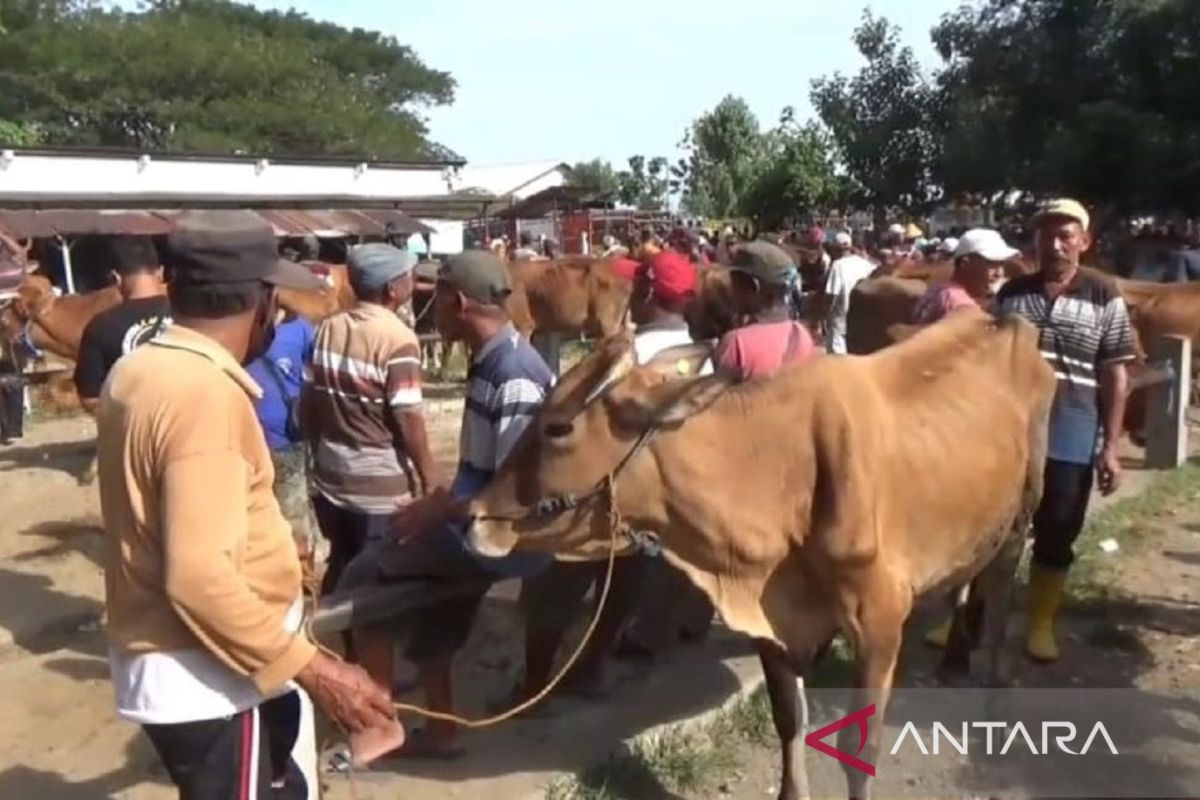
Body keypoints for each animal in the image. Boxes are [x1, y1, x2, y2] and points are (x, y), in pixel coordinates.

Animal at [463, 311, 1056, 800]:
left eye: (558, 427)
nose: (474, 517)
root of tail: (1002, 319)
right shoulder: (773, 626)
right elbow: (788, 720)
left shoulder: (881, 623)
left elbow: (860, 750)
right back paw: (954, 657)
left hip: (1022, 510)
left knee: (1000, 590)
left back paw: (995, 698)